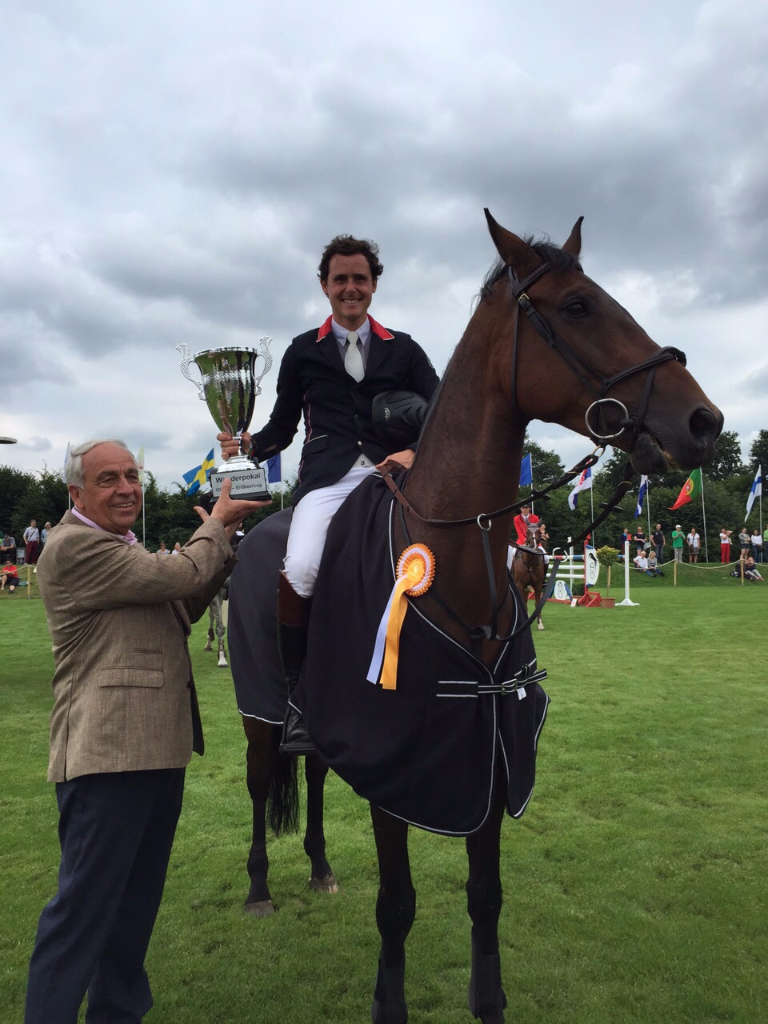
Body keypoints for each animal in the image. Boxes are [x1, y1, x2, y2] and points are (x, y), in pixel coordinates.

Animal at [246, 211, 720, 1019]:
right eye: (578, 307)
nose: (703, 420)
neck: (455, 559)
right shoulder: (391, 761)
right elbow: (397, 904)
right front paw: (389, 1002)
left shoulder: (493, 752)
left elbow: (485, 894)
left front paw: (488, 998)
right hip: (259, 711)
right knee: (259, 783)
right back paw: (258, 888)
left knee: (310, 776)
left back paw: (318, 867)